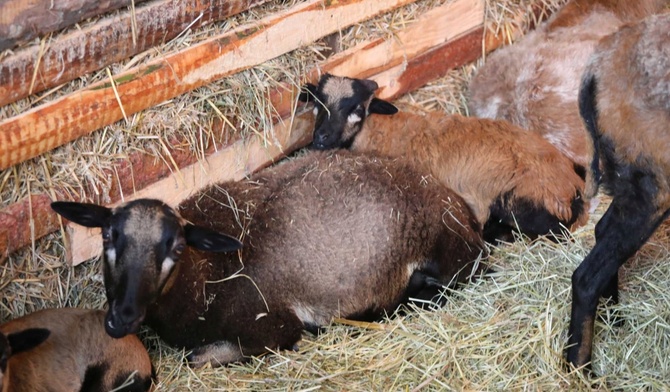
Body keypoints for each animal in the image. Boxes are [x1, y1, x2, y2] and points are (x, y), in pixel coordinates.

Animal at [50, 150, 486, 368]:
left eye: (175, 248)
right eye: (108, 236)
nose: (120, 318)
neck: (207, 277)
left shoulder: (273, 326)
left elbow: (199, 358)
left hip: (451, 249)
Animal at [302, 73, 592, 242]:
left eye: (356, 109)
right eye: (317, 102)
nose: (321, 137)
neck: (376, 131)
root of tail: (574, 190)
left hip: (517, 202)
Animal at [568, 13, 670, 370]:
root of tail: (596, 70)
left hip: (635, 178)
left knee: (602, 230)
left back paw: (615, 319)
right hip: (655, 186)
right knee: (586, 277)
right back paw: (580, 369)